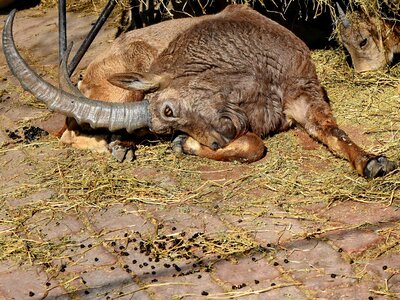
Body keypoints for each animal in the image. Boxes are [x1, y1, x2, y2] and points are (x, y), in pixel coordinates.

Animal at [2, 5, 396, 178]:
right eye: (172, 124)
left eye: (168, 111)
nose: (218, 141)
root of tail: (88, 75)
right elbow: (253, 145)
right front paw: (184, 145)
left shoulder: (302, 92)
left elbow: (333, 131)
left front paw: (374, 162)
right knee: (70, 134)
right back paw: (121, 146)